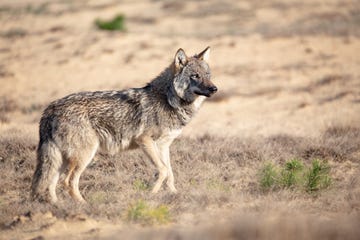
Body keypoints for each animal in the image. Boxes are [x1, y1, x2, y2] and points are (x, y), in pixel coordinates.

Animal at [31, 46, 217, 202]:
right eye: (195, 76)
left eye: (208, 75)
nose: (214, 89)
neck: (168, 99)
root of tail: (50, 109)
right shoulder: (145, 141)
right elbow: (163, 171)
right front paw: (151, 194)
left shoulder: (164, 145)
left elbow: (170, 173)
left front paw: (174, 194)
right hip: (84, 155)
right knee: (67, 181)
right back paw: (83, 205)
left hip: (63, 158)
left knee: (52, 182)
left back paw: (57, 205)